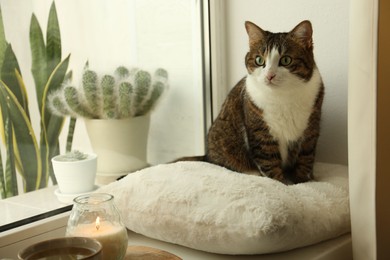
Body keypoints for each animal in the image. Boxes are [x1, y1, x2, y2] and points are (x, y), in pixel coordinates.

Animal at [177, 20, 322, 184]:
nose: (269, 75)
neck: (284, 96)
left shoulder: (311, 129)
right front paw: (281, 184)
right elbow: (269, 161)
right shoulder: (260, 130)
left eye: (286, 60)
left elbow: (306, 158)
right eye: (259, 60)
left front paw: (303, 182)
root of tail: (206, 156)